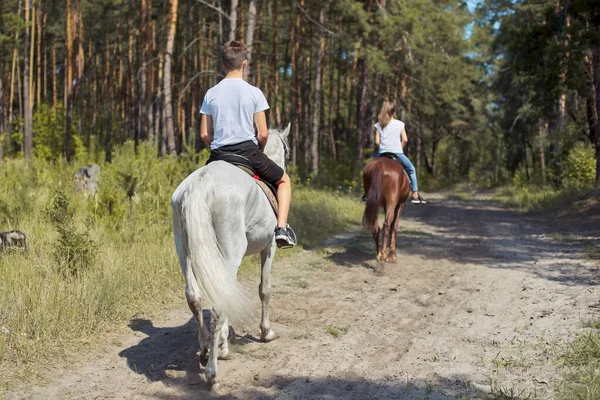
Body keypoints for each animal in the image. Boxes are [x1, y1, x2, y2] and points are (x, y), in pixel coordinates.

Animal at [171, 124, 290, 384]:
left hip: (184, 249)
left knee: (194, 296)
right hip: (229, 251)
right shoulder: (269, 247)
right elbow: (265, 289)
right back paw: (213, 368)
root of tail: (202, 184)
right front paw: (266, 332)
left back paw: (206, 348)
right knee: (218, 302)